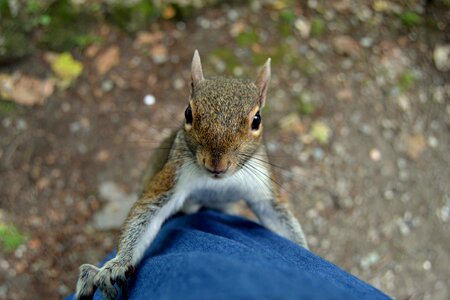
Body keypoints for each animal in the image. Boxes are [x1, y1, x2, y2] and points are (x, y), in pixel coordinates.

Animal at [76, 50, 310, 298]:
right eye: (188, 113)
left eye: (257, 120)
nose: (217, 164)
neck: (217, 183)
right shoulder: (174, 175)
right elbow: (148, 211)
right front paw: (118, 264)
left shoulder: (261, 186)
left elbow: (277, 217)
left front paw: (304, 251)